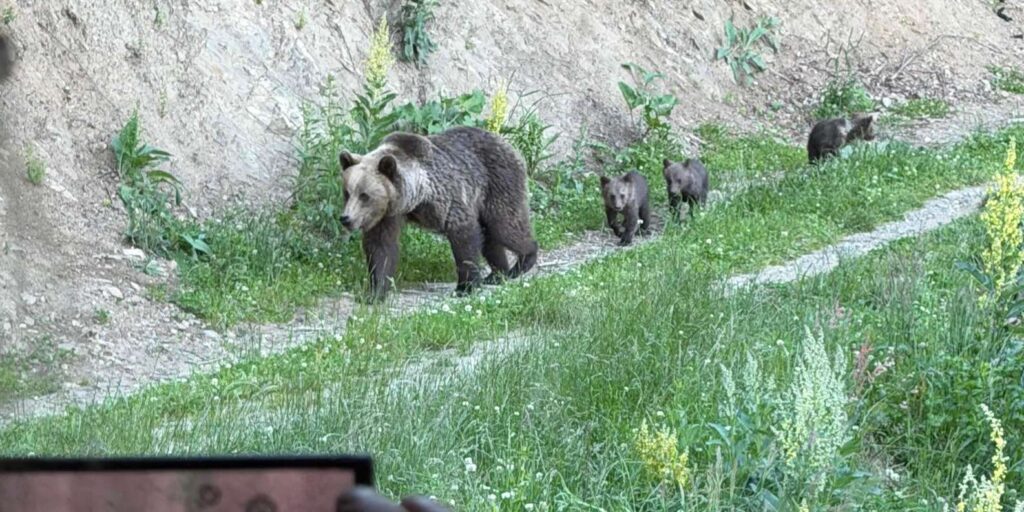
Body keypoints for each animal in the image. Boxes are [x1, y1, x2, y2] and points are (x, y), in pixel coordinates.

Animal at [339, 126, 539, 301]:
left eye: (365, 196)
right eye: (347, 193)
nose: (346, 218)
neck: (416, 197)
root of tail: (508, 143)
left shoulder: (446, 197)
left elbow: (464, 237)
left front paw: (465, 287)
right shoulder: (388, 213)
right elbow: (381, 247)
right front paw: (374, 293)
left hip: (498, 182)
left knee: (504, 225)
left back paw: (523, 261)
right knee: (489, 235)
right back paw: (498, 274)